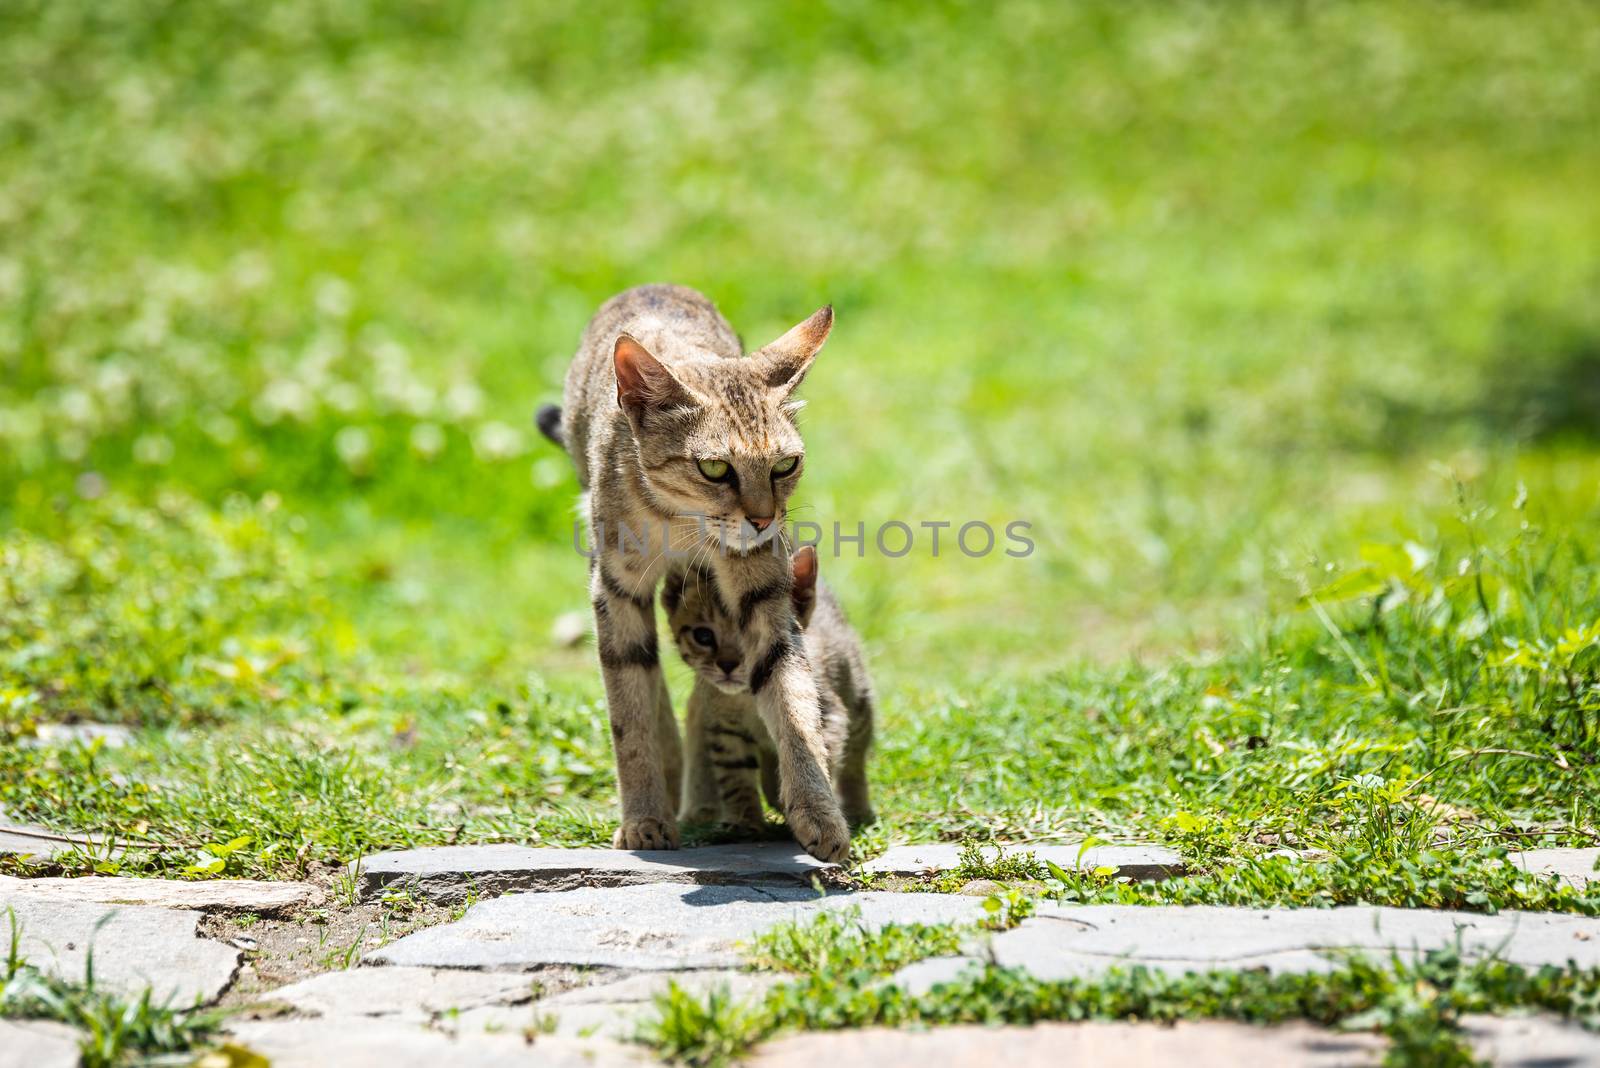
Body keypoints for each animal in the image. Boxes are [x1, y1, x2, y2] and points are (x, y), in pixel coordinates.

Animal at [540, 287, 851, 863]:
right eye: (714, 468)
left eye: (785, 466)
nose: (763, 520)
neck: (681, 524)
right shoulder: (615, 593)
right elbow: (631, 715)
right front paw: (644, 817)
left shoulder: (764, 595)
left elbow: (794, 701)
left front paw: (818, 811)